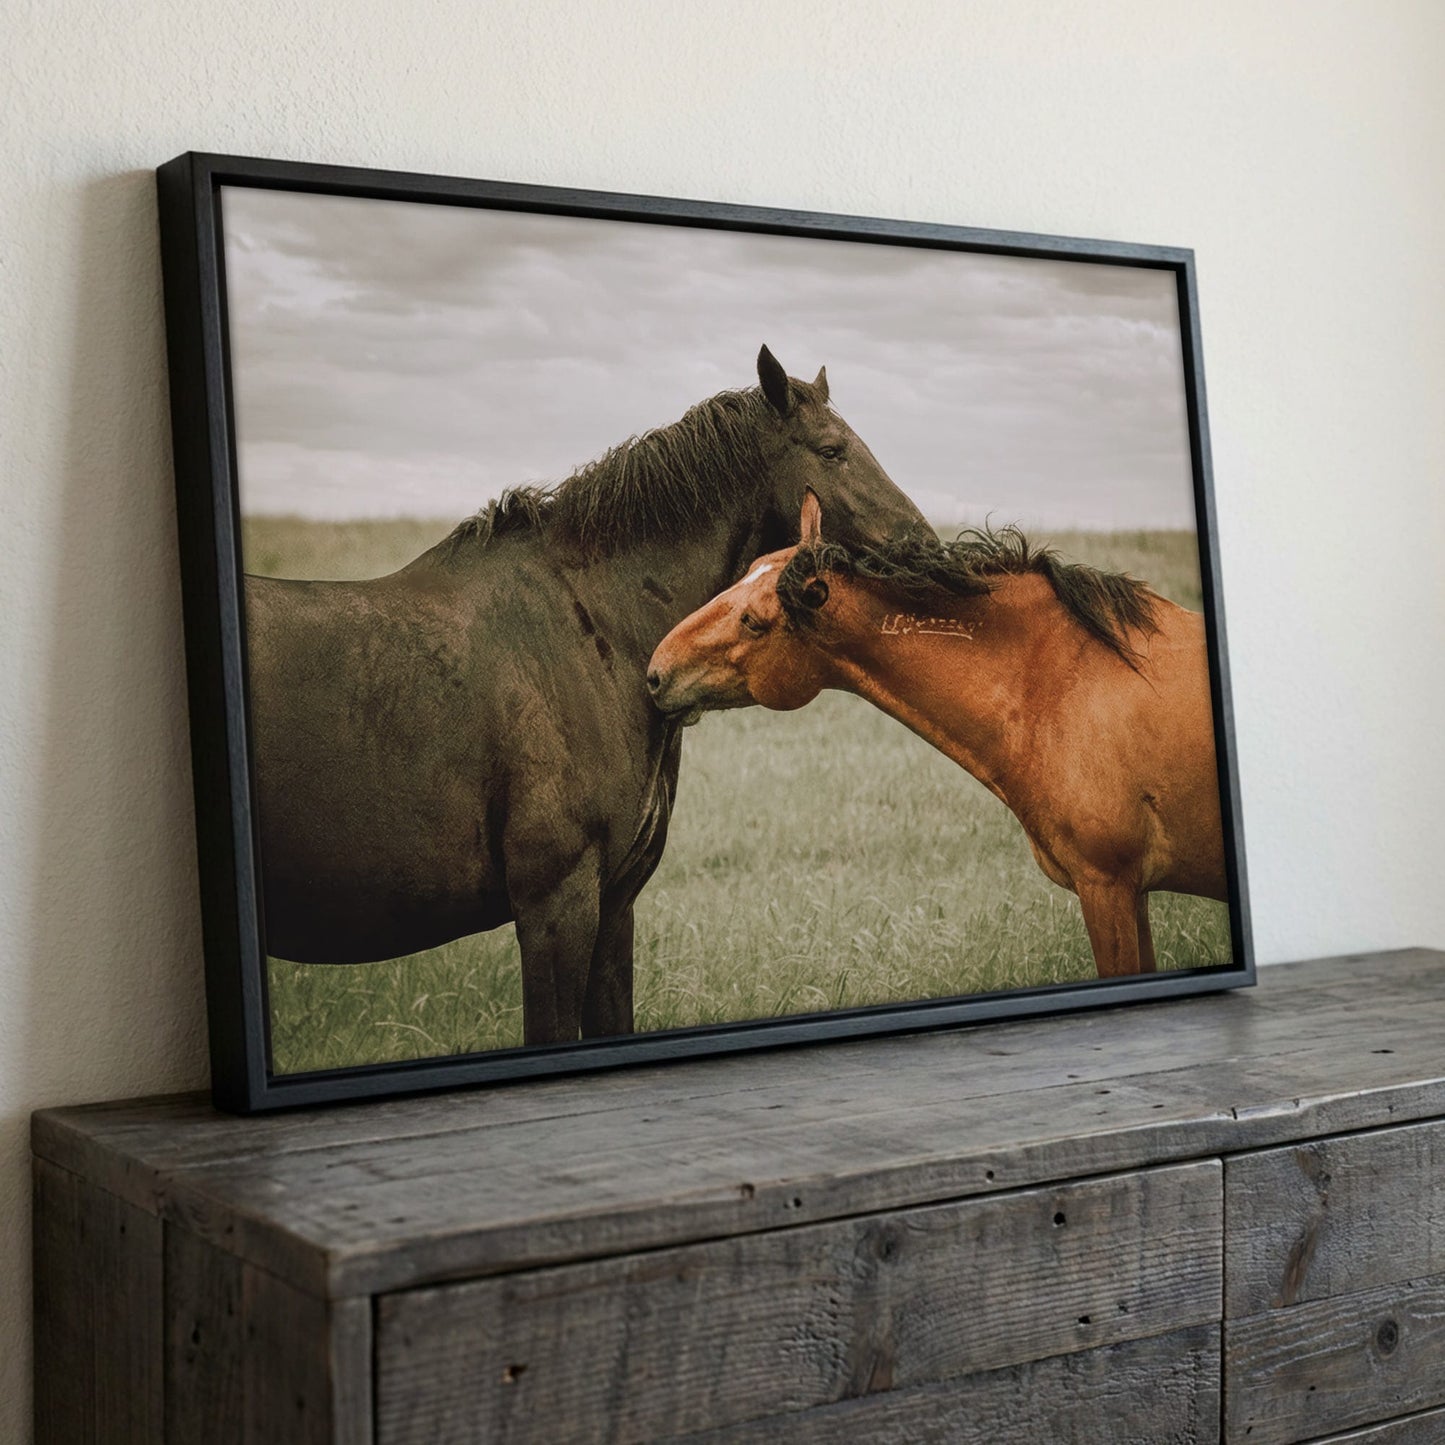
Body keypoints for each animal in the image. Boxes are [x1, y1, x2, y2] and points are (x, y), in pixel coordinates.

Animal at [647, 491, 1227, 979]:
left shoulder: (1108, 888)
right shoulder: (1131, 894)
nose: (654, 672)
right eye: (744, 572)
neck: (1059, 682)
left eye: (753, 620)